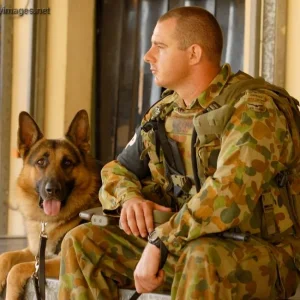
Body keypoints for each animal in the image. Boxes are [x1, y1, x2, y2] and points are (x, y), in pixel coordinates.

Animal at [0, 110, 101, 300]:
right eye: (41, 162)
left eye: (67, 163)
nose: (52, 190)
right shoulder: (36, 252)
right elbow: (6, 255)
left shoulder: (56, 262)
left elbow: (17, 268)